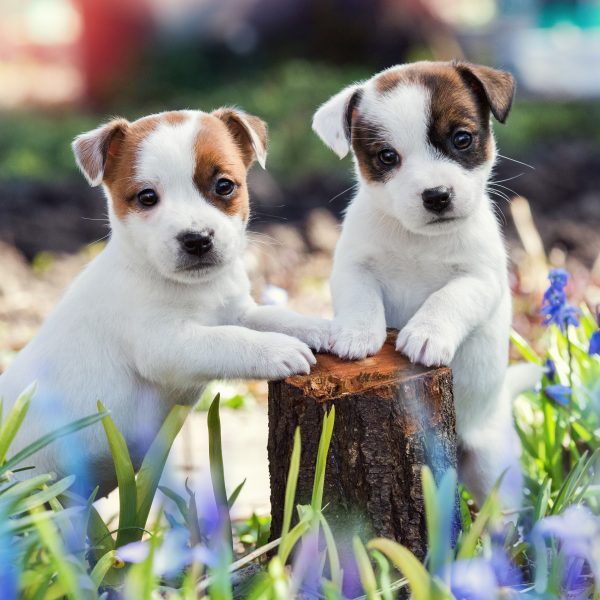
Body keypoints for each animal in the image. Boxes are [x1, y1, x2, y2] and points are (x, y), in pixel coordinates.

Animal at [0, 110, 328, 494]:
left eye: (224, 186)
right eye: (146, 197)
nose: (197, 239)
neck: (195, 288)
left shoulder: (238, 313)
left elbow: (277, 317)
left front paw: (329, 329)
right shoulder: (164, 343)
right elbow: (227, 340)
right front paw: (278, 350)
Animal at [312, 62, 536, 510]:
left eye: (462, 139)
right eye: (388, 156)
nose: (436, 195)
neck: (418, 238)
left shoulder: (479, 279)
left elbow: (446, 298)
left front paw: (426, 334)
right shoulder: (352, 268)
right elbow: (361, 299)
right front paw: (356, 334)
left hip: (491, 466)